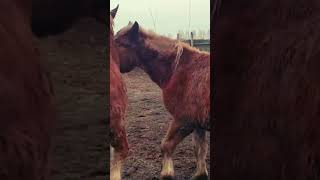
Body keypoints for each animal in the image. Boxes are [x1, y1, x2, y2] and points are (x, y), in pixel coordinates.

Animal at [114, 21, 210, 179]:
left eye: (119, 43)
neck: (179, 70)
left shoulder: (183, 120)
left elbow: (166, 145)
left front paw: (167, 173)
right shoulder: (198, 124)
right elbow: (199, 149)